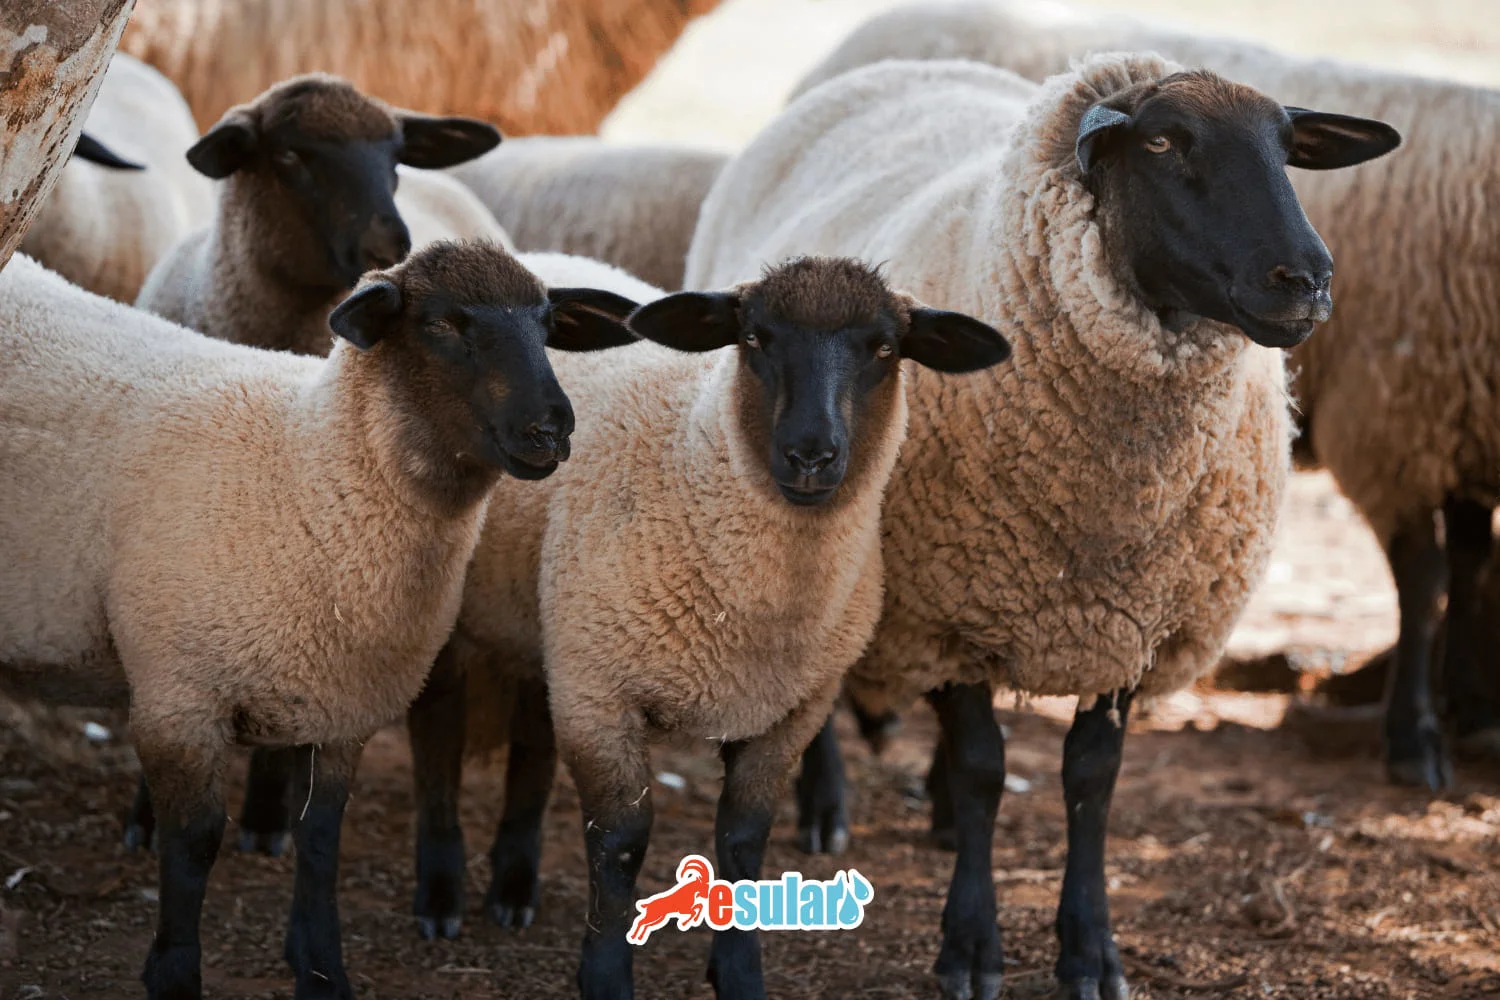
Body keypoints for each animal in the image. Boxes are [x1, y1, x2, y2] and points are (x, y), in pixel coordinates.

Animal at [0, 239, 641, 1000]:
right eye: (441, 324)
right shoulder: (180, 693)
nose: (551, 429)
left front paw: (322, 970)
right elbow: (194, 844)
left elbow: (321, 840)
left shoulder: (337, 704)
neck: (306, 473)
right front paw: (175, 973)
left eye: (546, 325)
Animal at [684, 54, 1399, 1000]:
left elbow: (1091, 777)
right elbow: (986, 769)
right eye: (1163, 142)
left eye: (1287, 147)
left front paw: (1091, 951)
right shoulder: (945, 608)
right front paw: (971, 947)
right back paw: (826, 807)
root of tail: (900, 65)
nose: (1308, 279)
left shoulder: (1135, 621)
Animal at [790, 0, 1500, 789]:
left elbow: (1470, 559)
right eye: (1159, 142)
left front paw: (1471, 709)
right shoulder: (1398, 427)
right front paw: (1416, 740)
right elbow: (1426, 575)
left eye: (1288, 151)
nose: (1309, 280)